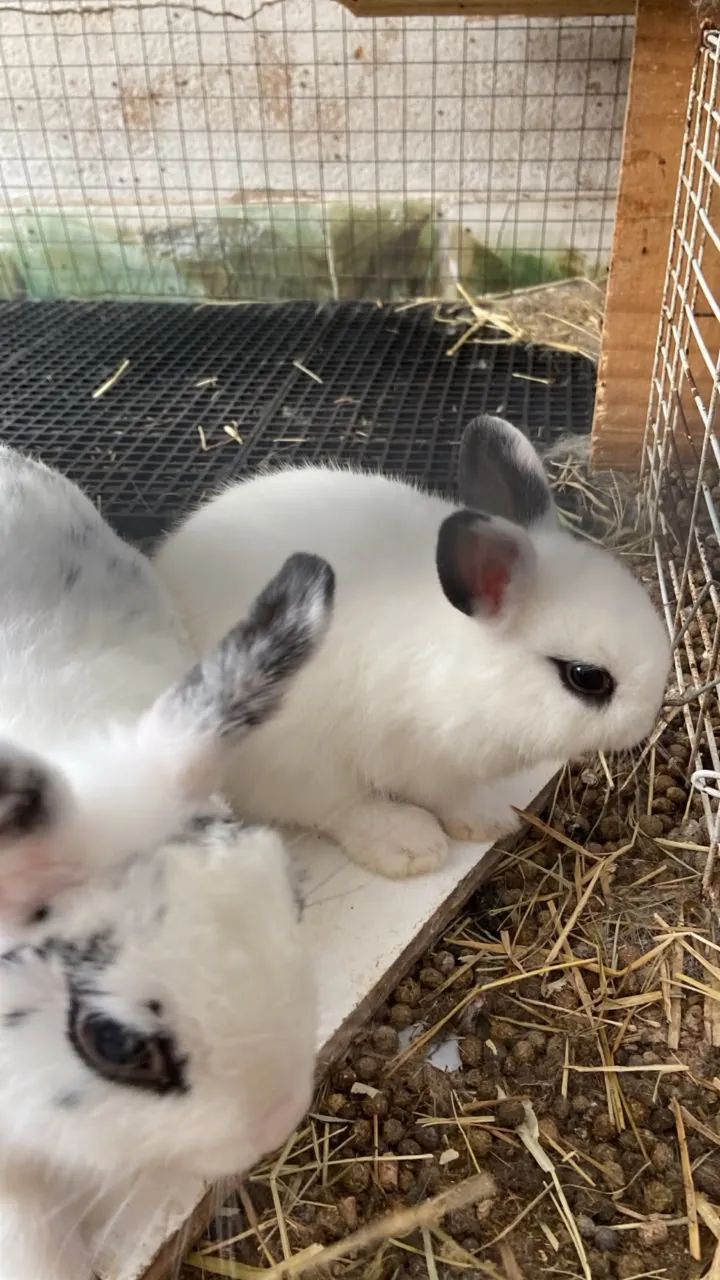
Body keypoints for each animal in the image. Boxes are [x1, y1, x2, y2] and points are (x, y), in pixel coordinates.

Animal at [154, 413, 671, 881]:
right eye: (586, 678)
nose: (646, 723)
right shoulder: (418, 761)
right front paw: (456, 831)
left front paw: (490, 820)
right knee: (335, 806)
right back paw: (408, 842)